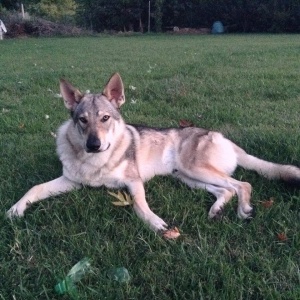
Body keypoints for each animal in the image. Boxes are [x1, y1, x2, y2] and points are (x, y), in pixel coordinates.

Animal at [6, 72, 300, 232]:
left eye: (105, 119)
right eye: (82, 120)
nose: (94, 144)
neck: (95, 162)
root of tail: (222, 136)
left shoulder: (134, 181)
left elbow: (139, 204)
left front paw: (154, 222)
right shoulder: (72, 181)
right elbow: (34, 188)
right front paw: (15, 210)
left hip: (194, 170)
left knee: (243, 184)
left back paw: (243, 210)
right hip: (187, 176)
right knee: (226, 191)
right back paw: (216, 211)